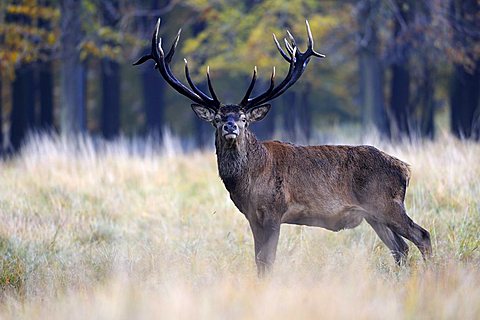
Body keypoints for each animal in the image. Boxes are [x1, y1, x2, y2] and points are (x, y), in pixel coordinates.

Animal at [134, 18, 432, 276]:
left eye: (243, 118)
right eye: (218, 118)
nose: (230, 127)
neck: (248, 182)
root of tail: (406, 169)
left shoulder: (274, 210)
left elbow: (268, 260)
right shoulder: (252, 216)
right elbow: (258, 260)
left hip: (386, 203)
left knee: (422, 235)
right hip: (374, 215)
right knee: (400, 249)